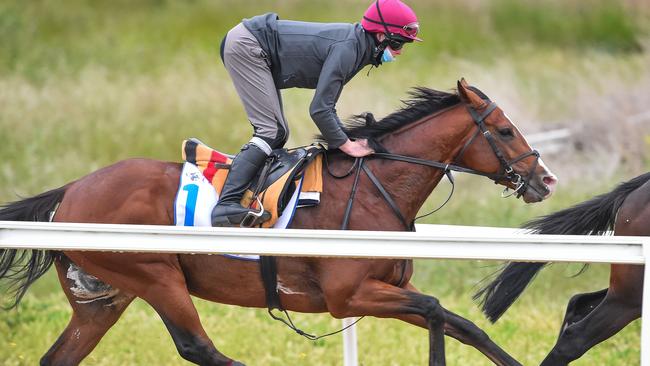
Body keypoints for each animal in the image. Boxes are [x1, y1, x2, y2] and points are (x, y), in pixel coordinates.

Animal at [1, 80, 556, 366]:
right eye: (505, 130)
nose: (545, 179)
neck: (375, 188)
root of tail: (71, 191)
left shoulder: (386, 290)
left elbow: (465, 325)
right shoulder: (347, 296)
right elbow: (438, 310)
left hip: (102, 299)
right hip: (155, 276)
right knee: (198, 347)